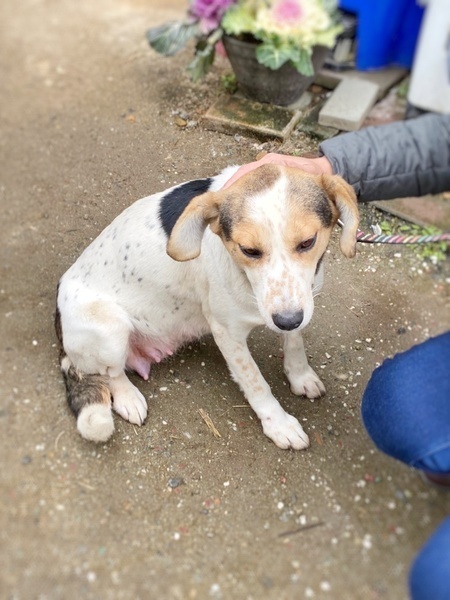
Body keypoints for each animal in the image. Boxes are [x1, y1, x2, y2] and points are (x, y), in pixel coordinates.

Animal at [55, 164, 359, 450]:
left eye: (308, 242)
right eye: (249, 250)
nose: (286, 320)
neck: (245, 280)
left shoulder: (297, 304)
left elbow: (295, 342)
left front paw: (300, 375)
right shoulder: (228, 333)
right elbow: (256, 382)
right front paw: (279, 424)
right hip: (110, 328)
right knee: (110, 373)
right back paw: (128, 398)